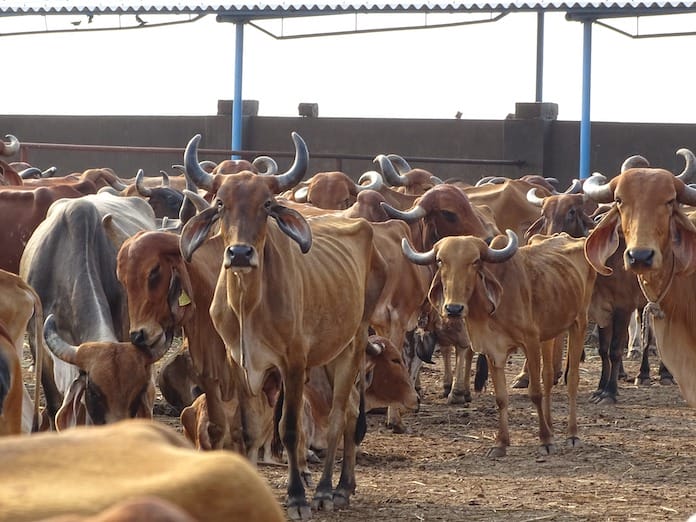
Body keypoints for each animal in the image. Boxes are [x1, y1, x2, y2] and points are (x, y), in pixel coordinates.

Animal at [179, 130, 386, 516]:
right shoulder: (239, 362)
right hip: (330, 354)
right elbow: (246, 428)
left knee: (339, 417)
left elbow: (289, 428)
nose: (240, 254)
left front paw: (297, 497)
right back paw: (345, 486)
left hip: (354, 343)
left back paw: (327, 491)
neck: (247, 305)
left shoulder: (293, 362)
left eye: (266, 204)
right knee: (351, 411)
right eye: (220, 204)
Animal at [406, 231, 596, 456]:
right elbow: (501, 398)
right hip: (550, 333)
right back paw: (550, 425)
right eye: (440, 260)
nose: (453, 309)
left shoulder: (530, 342)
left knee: (573, 379)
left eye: (475, 261)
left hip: (579, 322)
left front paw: (546, 440)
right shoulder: (492, 350)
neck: (489, 309)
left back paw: (572, 435)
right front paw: (501, 443)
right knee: (548, 377)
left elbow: (535, 392)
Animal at [580, 146, 696, 406]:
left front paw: (611, 391)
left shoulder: (623, 307)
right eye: (619, 200)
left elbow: (615, 349)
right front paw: (599, 389)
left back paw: (659, 375)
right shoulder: (602, 309)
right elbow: (603, 350)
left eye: (670, 201)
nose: (639, 256)